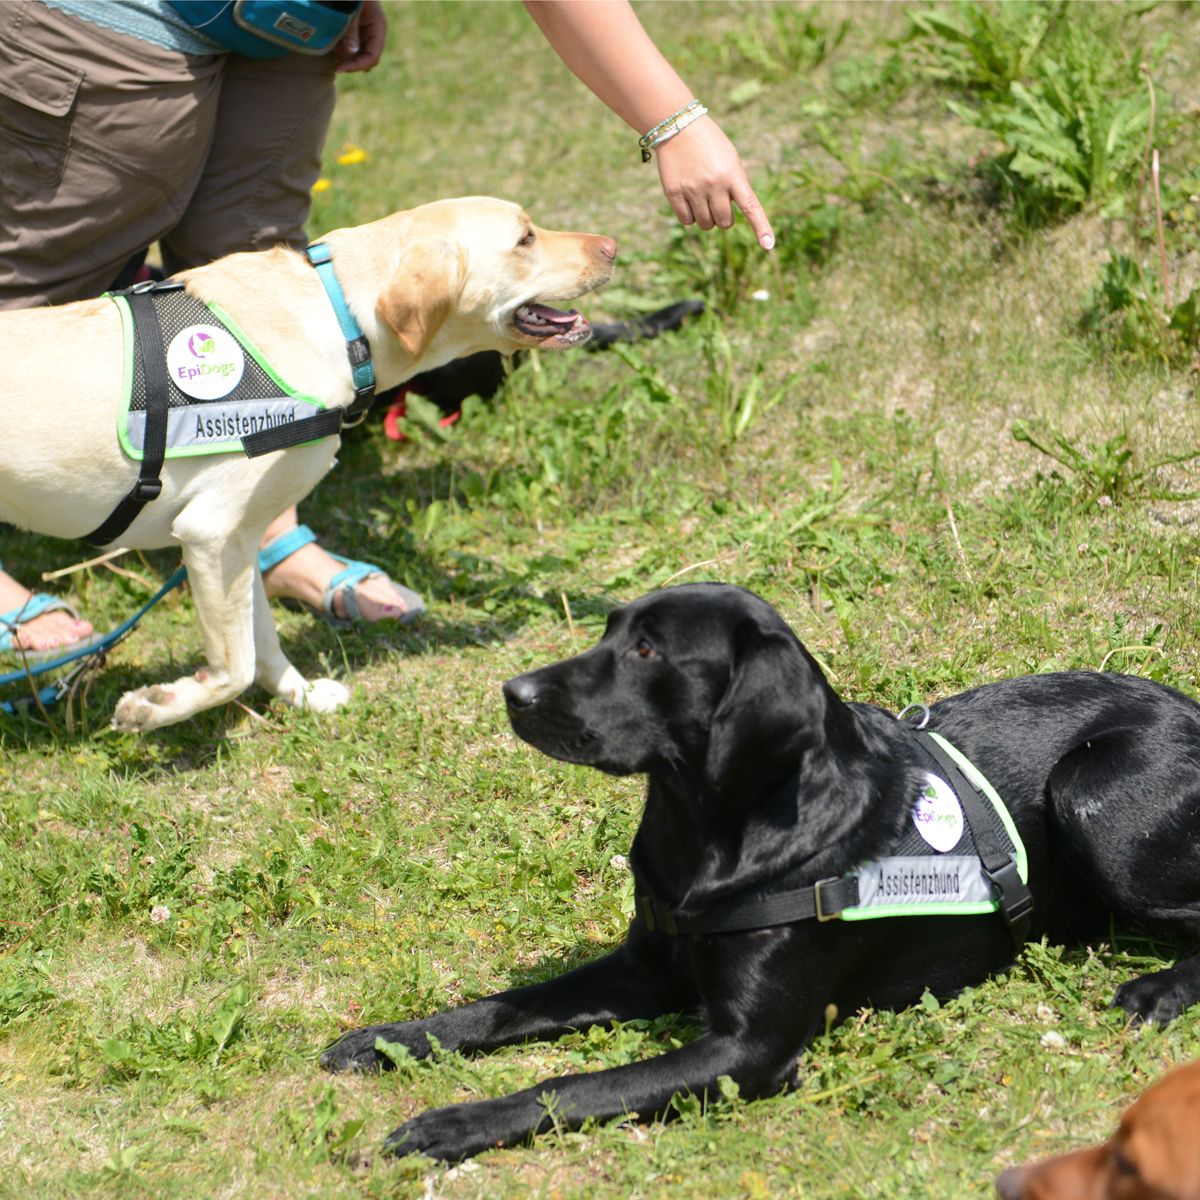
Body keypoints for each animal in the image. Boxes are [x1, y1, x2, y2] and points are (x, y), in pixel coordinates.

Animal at [0, 198, 615, 730]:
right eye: (526, 238)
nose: (612, 245)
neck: (340, 323)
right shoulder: (210, 533)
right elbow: (234, 667)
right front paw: (154, 708)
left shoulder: (238, 538)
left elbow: (262, 643)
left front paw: (301, 694)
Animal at [321, 582, 1200, 1162]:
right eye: (608, 631)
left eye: (647, 650)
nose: (513, 690)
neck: (707, 834)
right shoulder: (645, 967)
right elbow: (507, 1006)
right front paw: (393, 1039)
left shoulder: (747, 1051)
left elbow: (574, 1086)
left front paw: (452, 1123)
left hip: (1089, 795)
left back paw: (1159, 991)